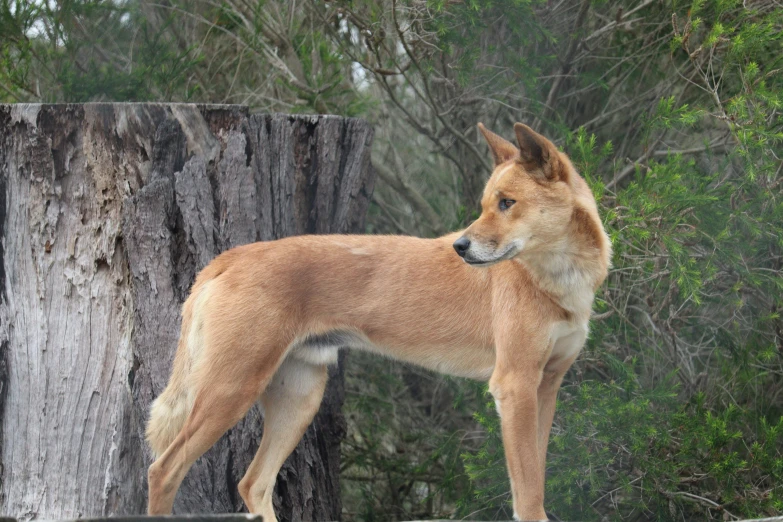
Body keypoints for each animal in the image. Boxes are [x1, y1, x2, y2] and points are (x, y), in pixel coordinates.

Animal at [145, 123, 612, 520]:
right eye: (486, 205)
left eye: (506, 203)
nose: (460, 247)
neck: (557, 279)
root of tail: (228, 258)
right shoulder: (515, 386)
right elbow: (529, 495)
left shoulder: (545, 386)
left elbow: (538, 478)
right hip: (231, 389)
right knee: (163, 471)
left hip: (299, 397)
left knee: (253, 483)